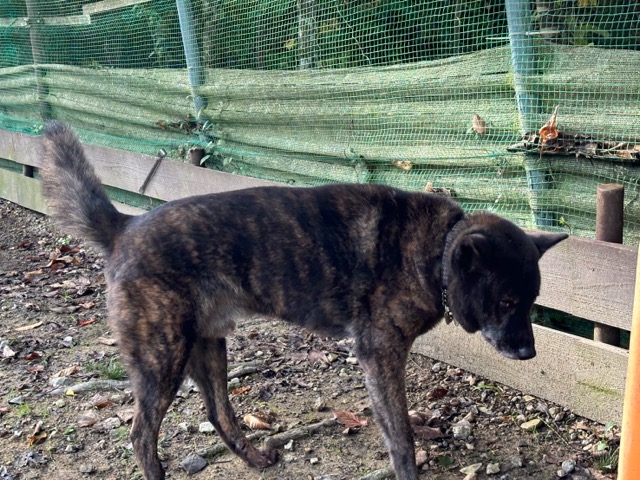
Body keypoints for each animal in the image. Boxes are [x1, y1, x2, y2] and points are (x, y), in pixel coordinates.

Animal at [40, 122, 567, 480]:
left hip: (207, 346)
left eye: (531, 302)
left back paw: (255, 457)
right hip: (162, 357)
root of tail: (124, 226)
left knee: (217, 412)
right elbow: (399, 433)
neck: (434, 251)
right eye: (506, 302)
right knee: (140, 434)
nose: (529, 353)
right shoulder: (380, 356)